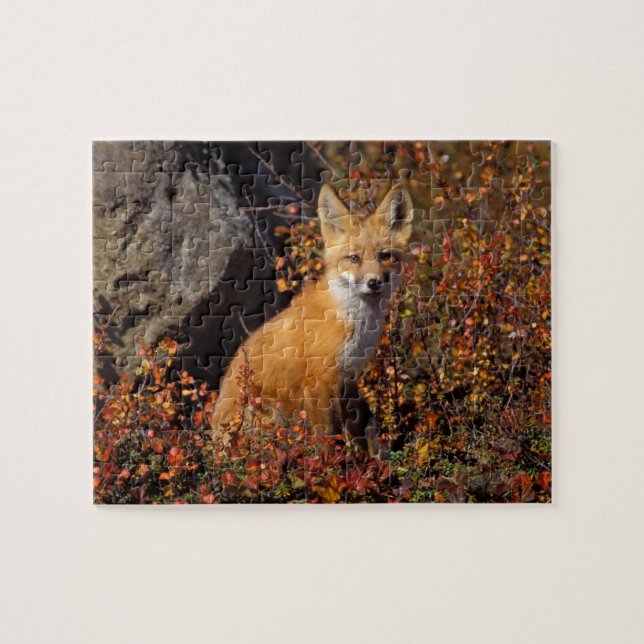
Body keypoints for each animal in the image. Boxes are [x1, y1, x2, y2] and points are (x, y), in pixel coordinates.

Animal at [211, 182, 414, 456]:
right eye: (353, 258)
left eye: (384, 256)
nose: (373, 282)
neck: (353, 319)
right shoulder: (320, 380)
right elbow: (327, 435)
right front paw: (334, 465)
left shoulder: (347, 377)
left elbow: (360, 424)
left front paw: (369, 460)